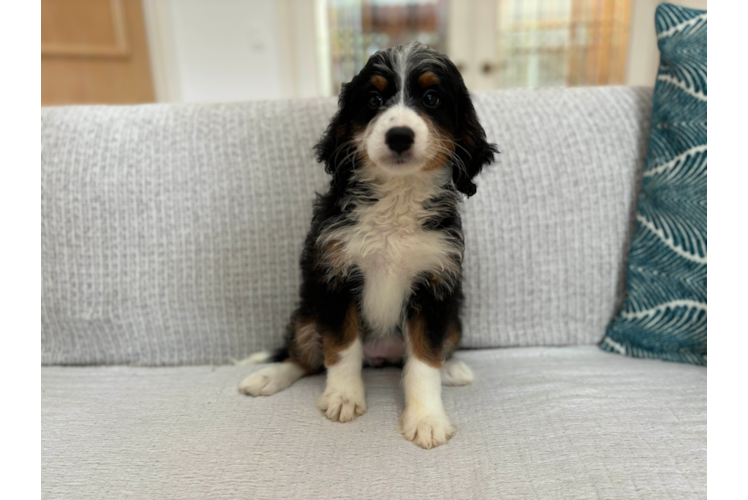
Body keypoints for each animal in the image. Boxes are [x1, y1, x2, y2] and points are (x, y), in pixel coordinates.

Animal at [240, 43, 496, 450]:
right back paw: (268, 377)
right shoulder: (333, 276)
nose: (399, 136)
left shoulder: (435, 284)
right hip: (306, 315)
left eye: (431, 98)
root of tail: (380, 357)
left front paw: (426, 419)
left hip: (454, 318)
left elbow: (425, 359)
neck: (396, 196)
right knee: (303, 358)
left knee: (435, 350)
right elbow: (342, 348)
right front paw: (344, 397)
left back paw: (452, 367)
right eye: (374, 100)